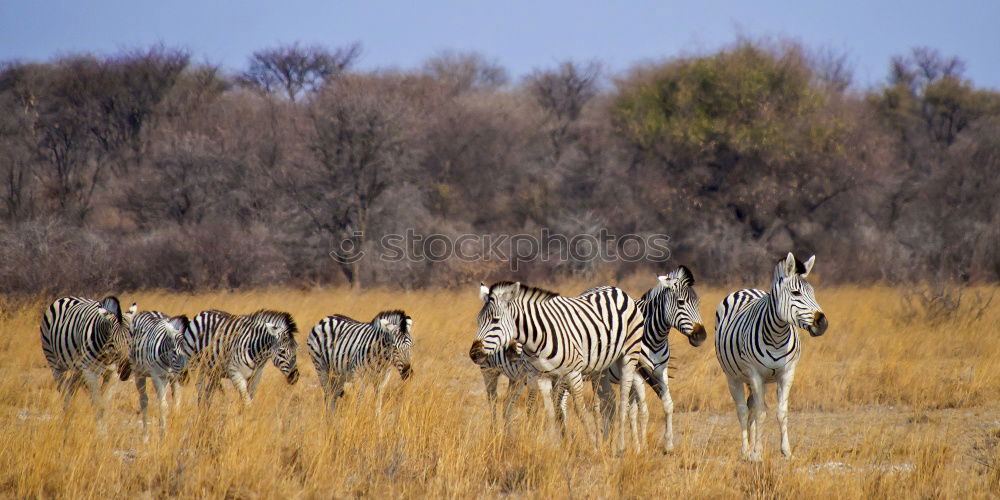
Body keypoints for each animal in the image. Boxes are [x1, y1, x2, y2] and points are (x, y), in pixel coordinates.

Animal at [129, 310, 189, 440]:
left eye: (189, 351)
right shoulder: (157, 377)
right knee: (144, 400)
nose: (185, 377)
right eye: (174, 352)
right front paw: (163, 434)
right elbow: (163, 405)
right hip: (139, 373)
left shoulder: (173, 378)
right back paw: (145, 434)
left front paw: (176, 422)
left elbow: (177, 400)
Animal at [466, 282, 640, 454]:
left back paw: (619, 446)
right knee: (496, 403)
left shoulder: (570, 373)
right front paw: (551, 444)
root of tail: (615, 289)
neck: (537, 337)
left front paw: (591, 445)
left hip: (628, 356)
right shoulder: (538, 374)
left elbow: (576, 409)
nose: (474, 354)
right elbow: (543, 410)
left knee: (622, 400)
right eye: (478, 320)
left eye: (495, 320)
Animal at [720, 254, 828, 460]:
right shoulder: (755, 374)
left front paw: (786, 451)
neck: (777, 336)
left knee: (752, 408)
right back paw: (746, 450)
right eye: (796, 293)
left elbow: (781, 413)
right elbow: (761, 414)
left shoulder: (787, 373)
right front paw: (756, 454)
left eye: (812, 292)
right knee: (743, 411)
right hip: (733, 377)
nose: (823, 323)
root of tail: (746, 289)